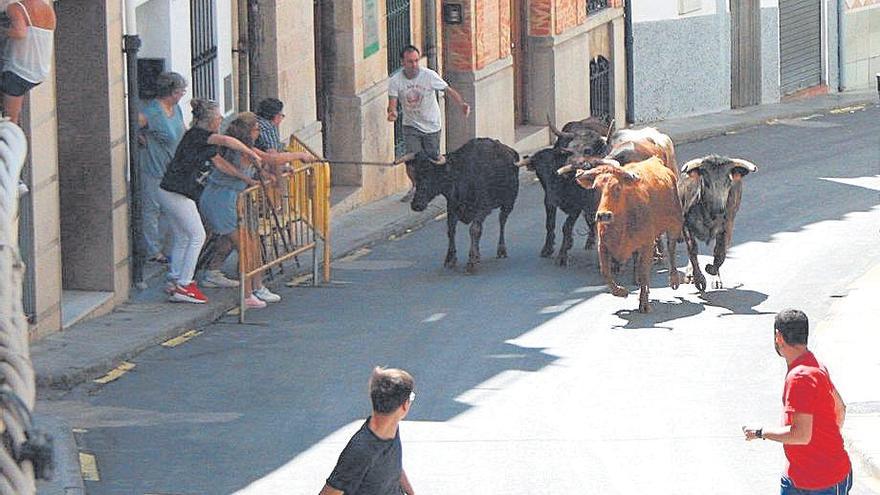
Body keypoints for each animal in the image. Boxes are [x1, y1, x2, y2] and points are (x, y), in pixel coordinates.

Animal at [412, 138, 524, 274]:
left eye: (429, 173)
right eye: (416, 176)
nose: (416, 204)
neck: (461, 178)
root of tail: (511, 152)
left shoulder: (482, 209)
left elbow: (474, 230)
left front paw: (471, 261)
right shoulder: (452, 208)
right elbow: (451, 230)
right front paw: (450, 259)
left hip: (509, 202)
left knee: (502, 221)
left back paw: (501, 249)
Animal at [576, 158, 684, 314]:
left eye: (617, 188)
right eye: (595, 189)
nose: (603, 215)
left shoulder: (647, 244)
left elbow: (644, 272)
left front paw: (644, 304)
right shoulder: (602, 246)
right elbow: (605, 272)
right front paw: (622, 291)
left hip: (674, 225)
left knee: (671, 248)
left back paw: (674, 279)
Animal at [676, 156, 760, 290]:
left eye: (728, 182)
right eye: (706, 182)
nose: (719, 209)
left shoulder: (727, 226)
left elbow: (720, 253)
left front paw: (711, 270)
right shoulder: (686, 225)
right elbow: (692, 250)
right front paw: (698, 279)